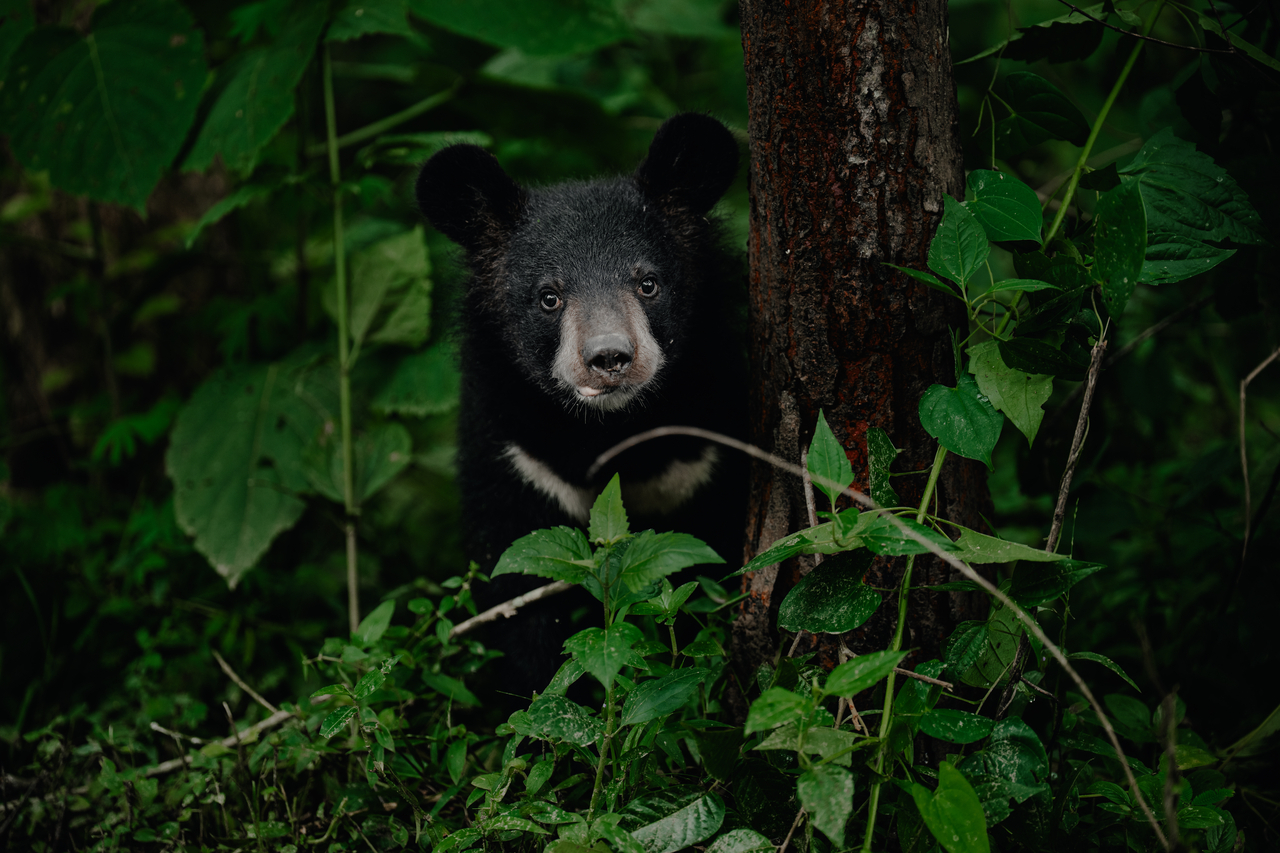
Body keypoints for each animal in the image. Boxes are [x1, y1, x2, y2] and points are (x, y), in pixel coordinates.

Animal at [415, 113, 747, 701]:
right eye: (549, 297)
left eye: (648, 283)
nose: (609, 358)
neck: (607, 431)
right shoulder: (515, 458)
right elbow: (519, 590)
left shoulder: (708, 452)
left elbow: (706, 566)